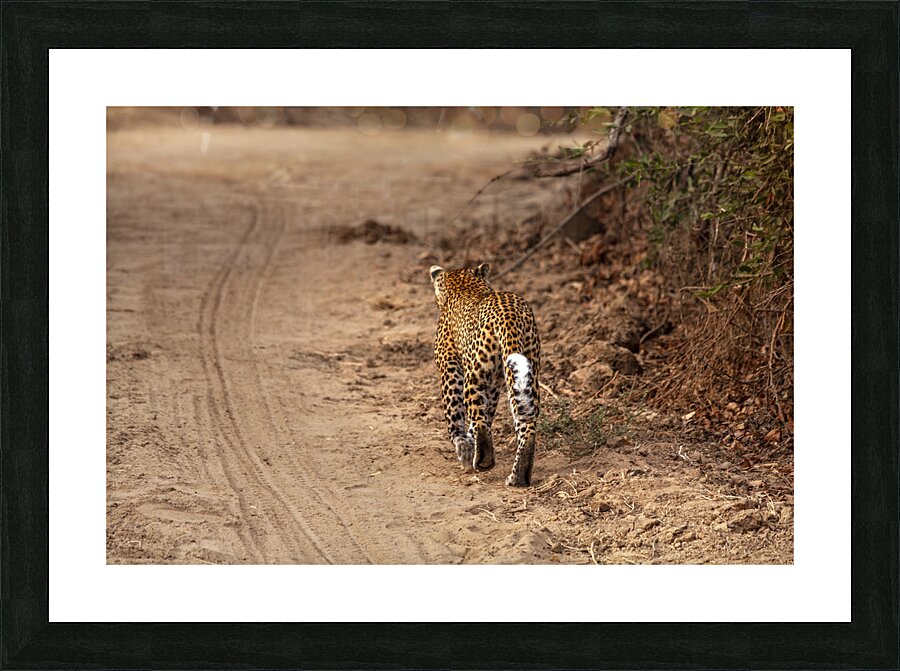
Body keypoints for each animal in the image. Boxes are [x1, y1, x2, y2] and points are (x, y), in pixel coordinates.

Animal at [429, 262, 541, 486]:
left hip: (475, 372)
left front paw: (464, 448)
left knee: (478, 416)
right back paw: (518, 477)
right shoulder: (495, 383)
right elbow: (487, 413)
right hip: (526, 372)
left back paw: (483, 461)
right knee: (526, 423)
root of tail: (509, 315)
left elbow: (456, 417)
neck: (464, 284)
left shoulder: (449, 368)